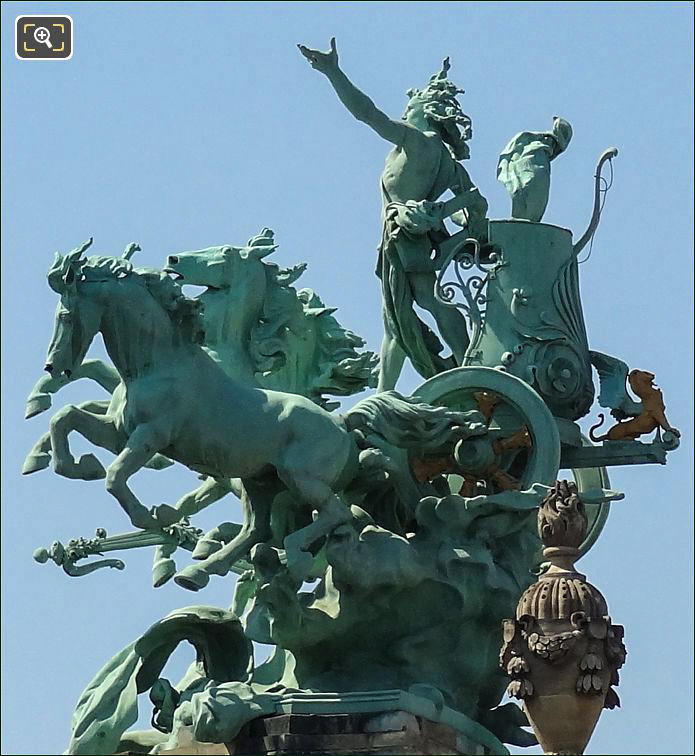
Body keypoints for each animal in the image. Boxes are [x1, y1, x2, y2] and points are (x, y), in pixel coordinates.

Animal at [42, 242, 490, 592]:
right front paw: (76, 465)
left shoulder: (153, 436)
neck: (158, 363)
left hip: (299, 475)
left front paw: (147, 514)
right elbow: (66, 418)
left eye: (65, 315)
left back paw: (294, 554)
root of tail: (342, 423)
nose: (53, 366)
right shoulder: (119, 431)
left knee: (335, 512)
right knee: (261, 527)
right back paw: (201, 570)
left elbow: (116, 475)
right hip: (261, 481)